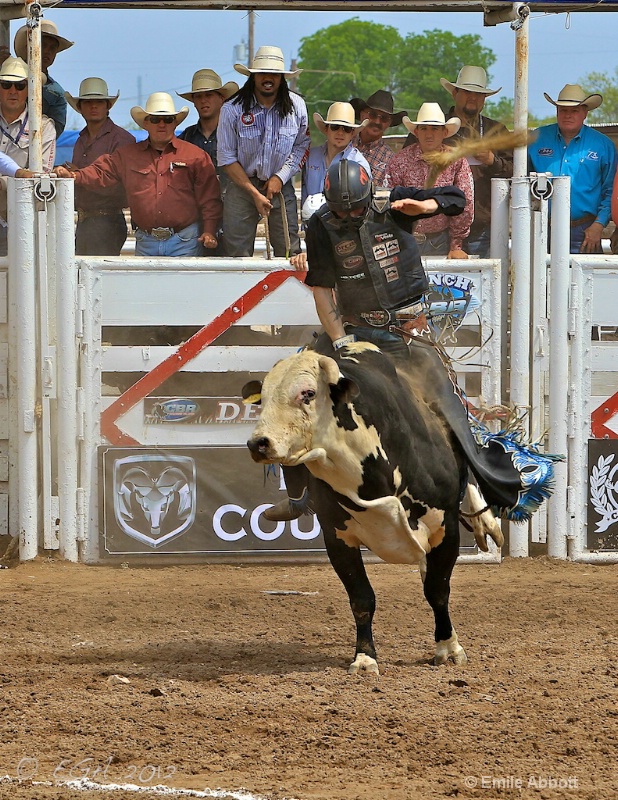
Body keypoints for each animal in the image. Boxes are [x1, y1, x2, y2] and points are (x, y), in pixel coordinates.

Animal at [243, 344, 498, 676]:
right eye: (263, 395)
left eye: (308, 393)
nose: (258, 443)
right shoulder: (337, 538)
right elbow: (361, 598)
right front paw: (365, 657)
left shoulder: (446, 530)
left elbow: (438, 591)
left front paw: (448, 648)